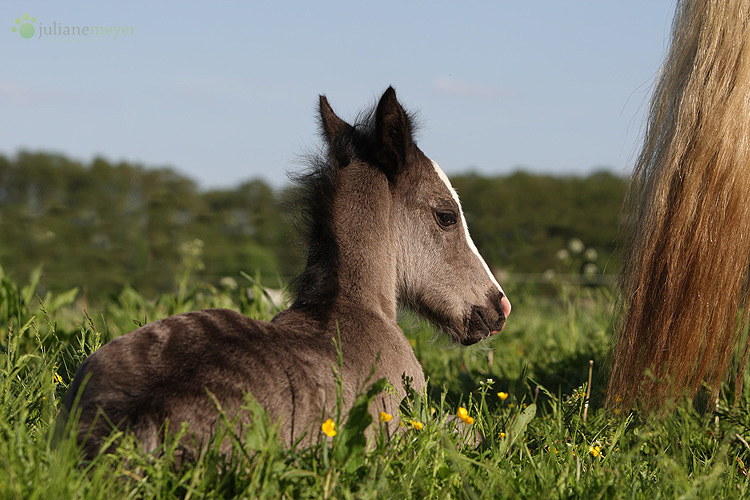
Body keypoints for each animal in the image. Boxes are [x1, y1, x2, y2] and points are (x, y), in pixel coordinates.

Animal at [63, 87, 512, 458]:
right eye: (446, 216)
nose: (499, 306)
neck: (353, 308)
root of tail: (123, 423)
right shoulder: (412, 424)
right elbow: (473, 431)